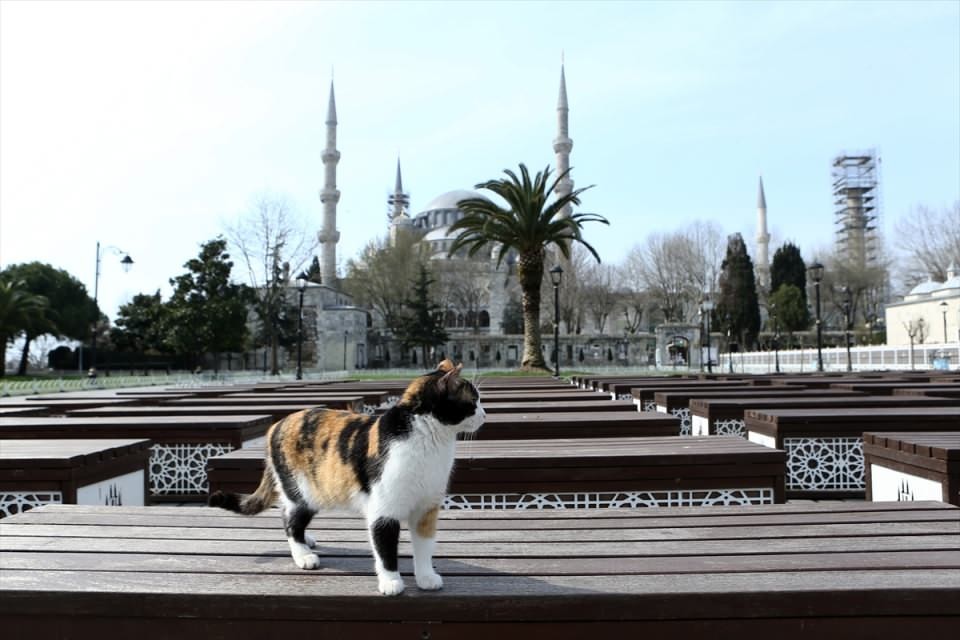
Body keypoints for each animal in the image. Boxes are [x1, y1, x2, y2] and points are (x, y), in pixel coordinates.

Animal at [207, 360, 484, 596]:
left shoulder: (426, 507)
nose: (484, 414)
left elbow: (425, 546)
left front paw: (426, 577)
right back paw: (303, 554)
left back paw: (306, 540)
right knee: (290, 520)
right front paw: (391, 582)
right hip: (303, 491)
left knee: (286, 514)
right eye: (472, 401)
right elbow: (385, 549)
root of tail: (276, 425)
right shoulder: (383, 510)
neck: (428, 440)